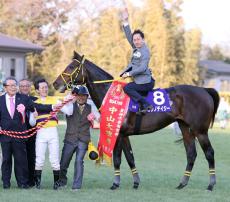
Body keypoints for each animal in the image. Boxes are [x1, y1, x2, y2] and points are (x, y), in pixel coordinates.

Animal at [53, 50, 220, 191]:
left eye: (72, 66)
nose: (55, 83)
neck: (111, 93)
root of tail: (204, 90)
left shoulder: (119, 134)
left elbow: (118, 159)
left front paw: (115, 184)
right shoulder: (125, 135)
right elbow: (130, 158)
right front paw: (136, 182)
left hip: (200, 131)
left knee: (210, 153)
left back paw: (211, 184)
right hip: (185, 128)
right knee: (191, 154)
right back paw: (182, 183)